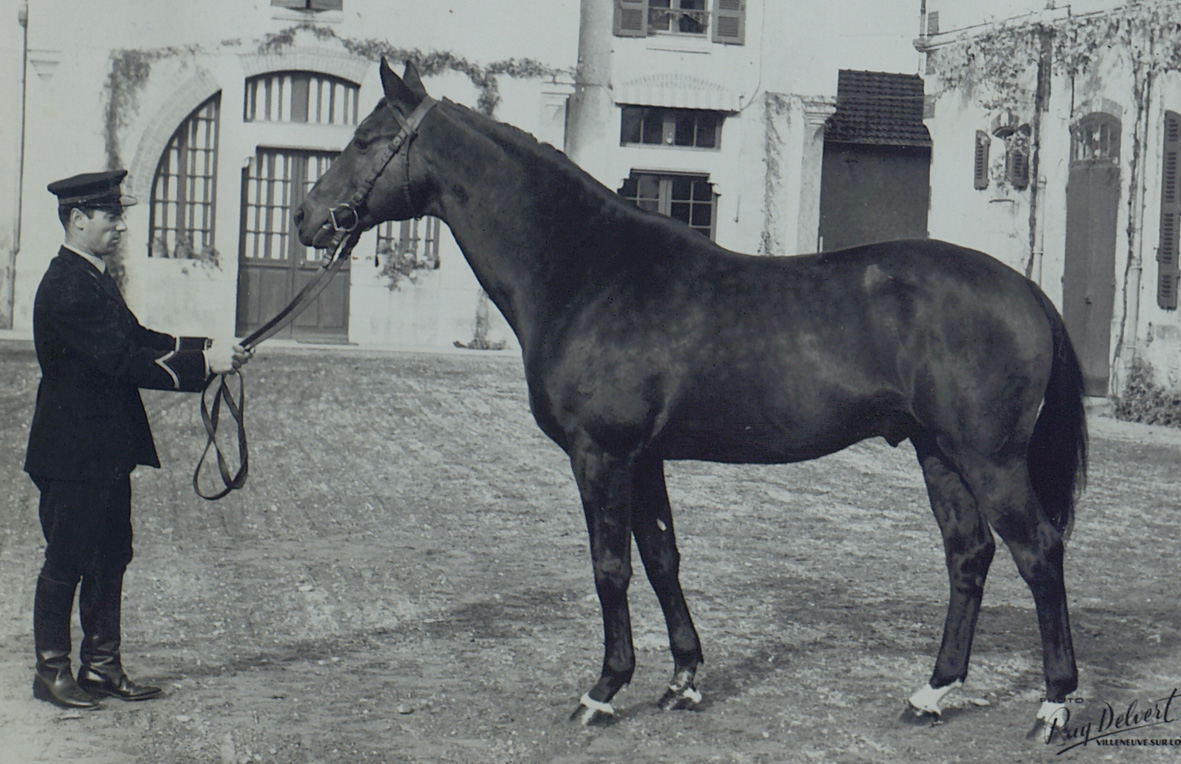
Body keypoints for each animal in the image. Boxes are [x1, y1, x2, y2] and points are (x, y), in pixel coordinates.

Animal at [295, 59, 1087, 738]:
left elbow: (610, 568)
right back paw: (931, 693)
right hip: (937, 453)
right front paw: (682, 680)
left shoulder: (602, 455)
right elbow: (660, 558)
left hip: (989, 460)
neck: (588, 270)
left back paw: (1052, 707)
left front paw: (604, 690)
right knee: (969, 556)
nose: (307, 218)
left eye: (366, 140)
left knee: (1039, 553)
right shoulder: (644, 459)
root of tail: (1026, 292)